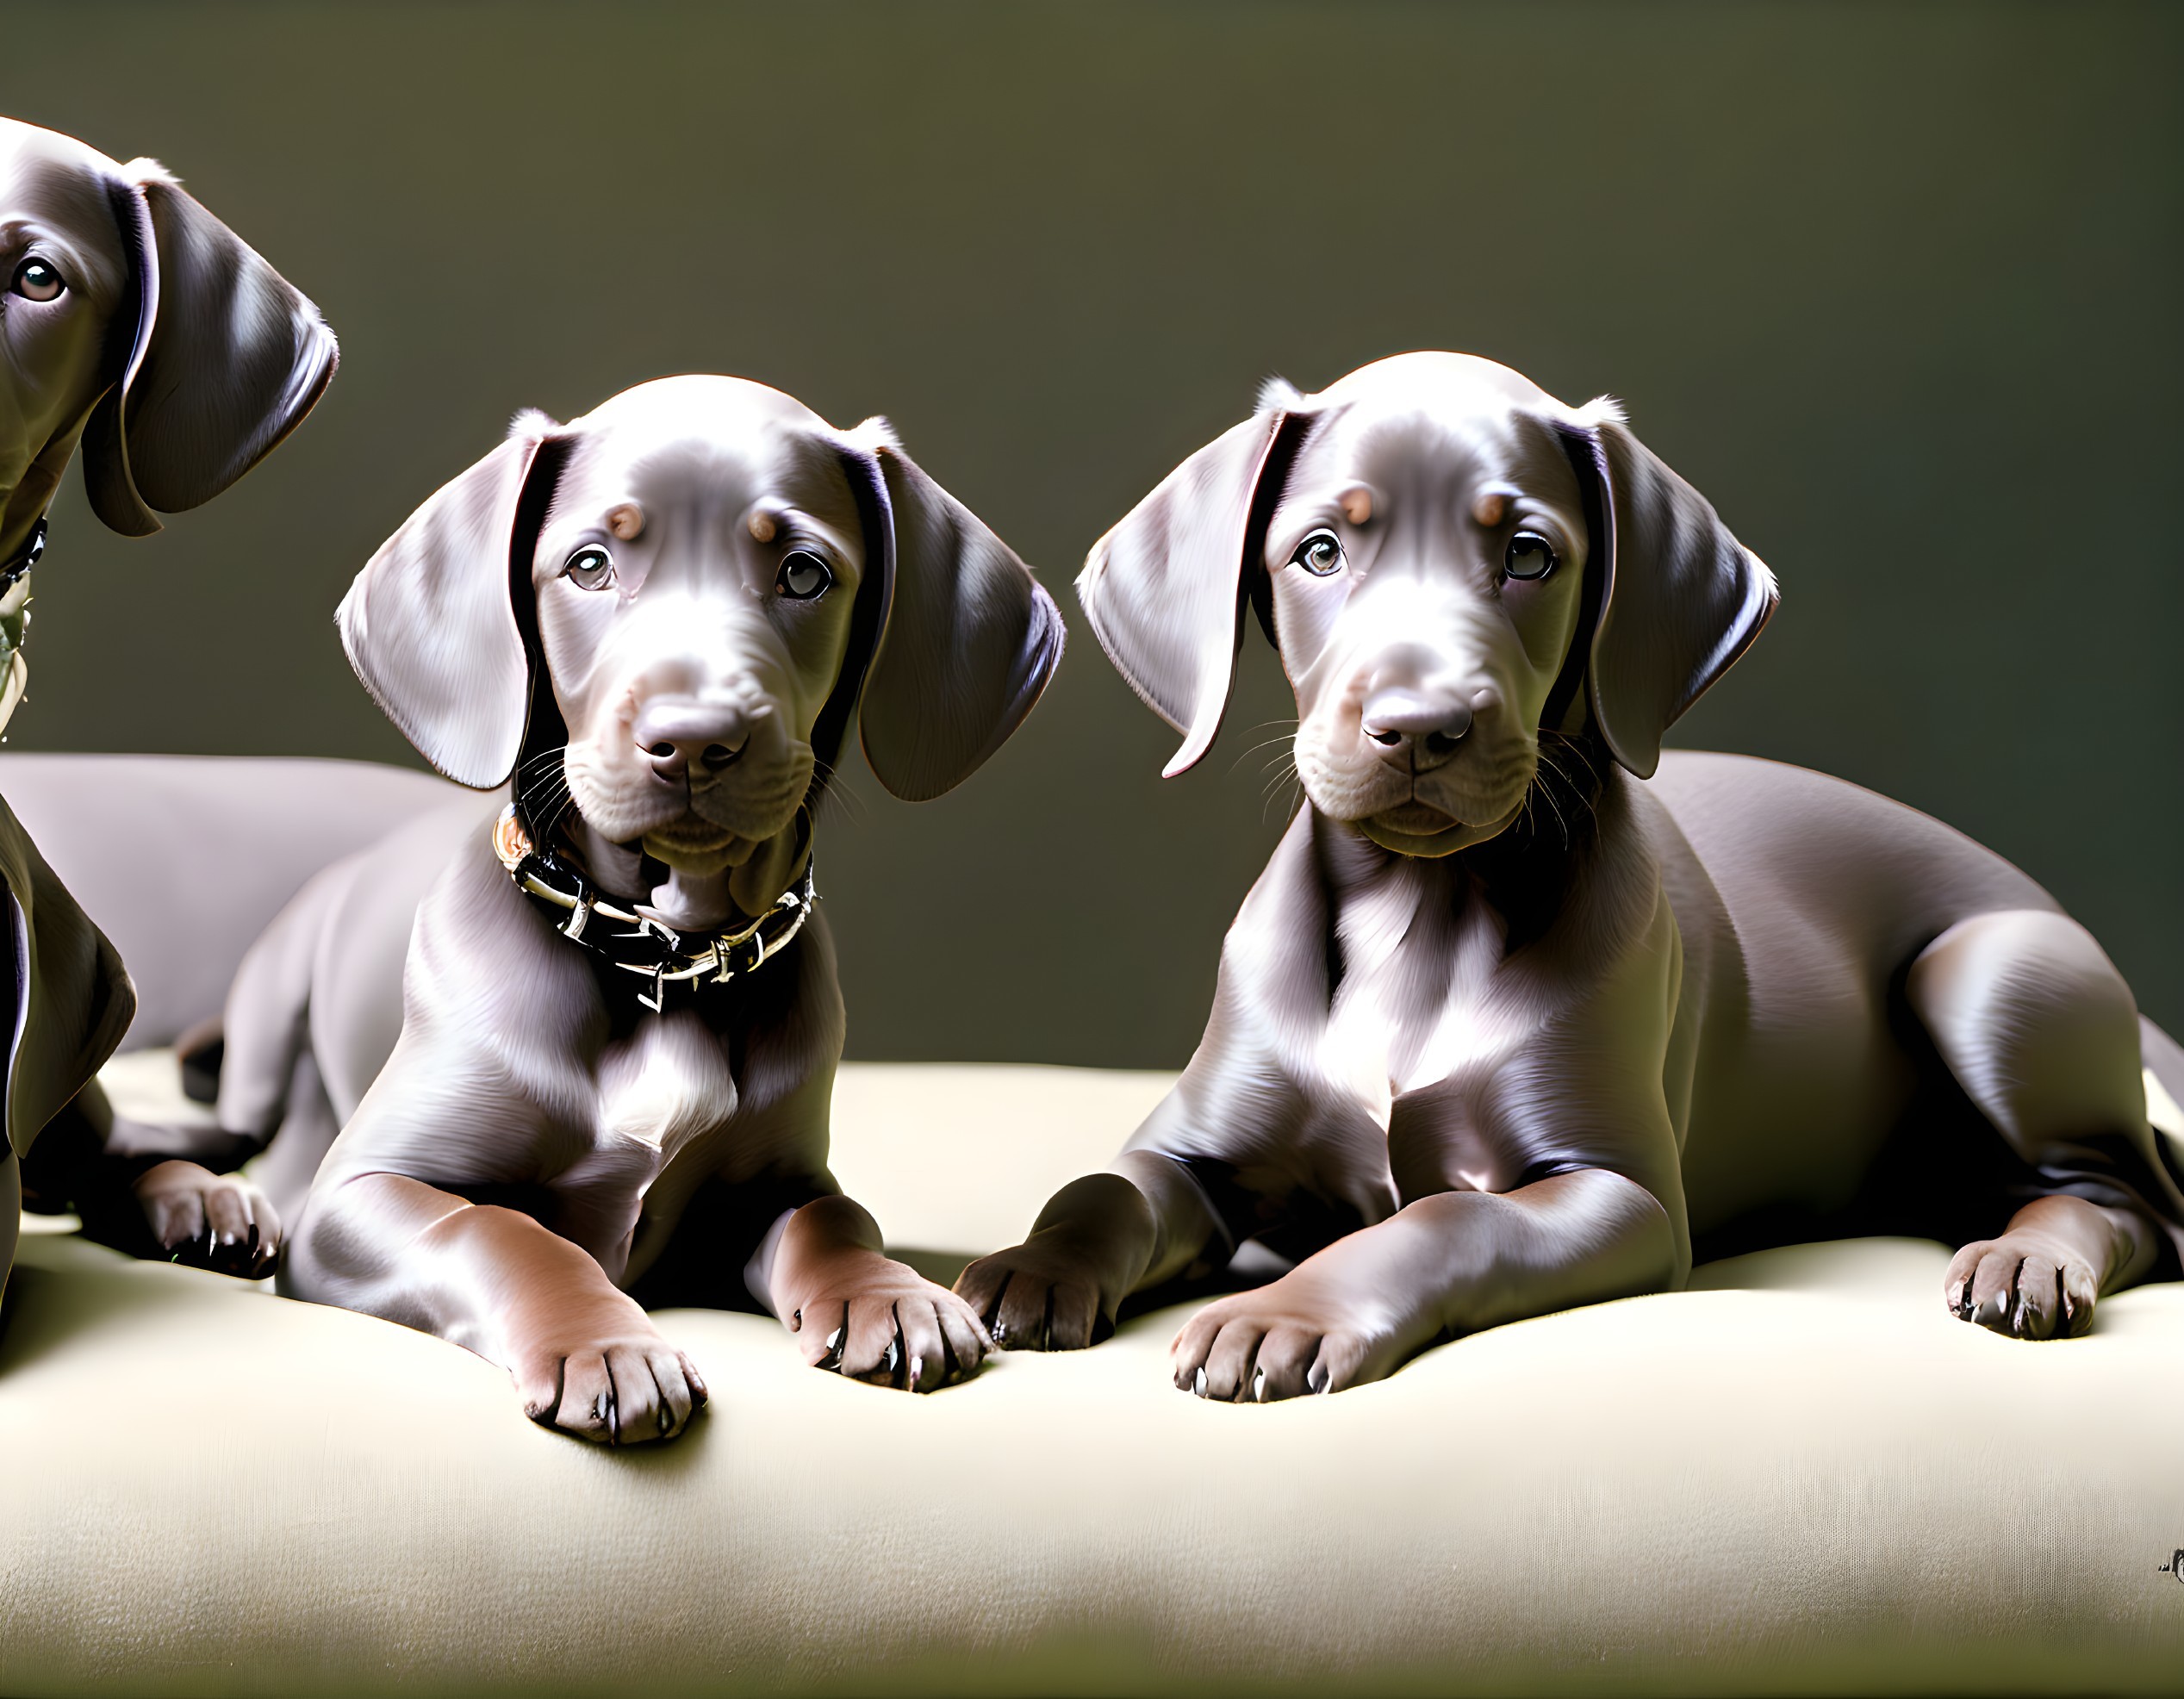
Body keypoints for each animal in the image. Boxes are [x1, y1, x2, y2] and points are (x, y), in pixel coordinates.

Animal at [277, 377, 1061, 1432]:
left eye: (805, 573)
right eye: (590, 565)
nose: (694, 740)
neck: (662, 955)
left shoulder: (770, 1185)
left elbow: (834, 1216)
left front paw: (891, 1293)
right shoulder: (358, 1195)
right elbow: (502, 1232)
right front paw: (604, 1347)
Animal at [961, 352, 2184, 1397]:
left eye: (1529, 555)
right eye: (1320, 552)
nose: (1420, 727)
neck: (1419, 909)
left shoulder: (1617, 1191)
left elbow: (1444, 1219)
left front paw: (1288, 1311)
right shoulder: (1195, 1148)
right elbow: (1104, 1185)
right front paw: (1028, 1268)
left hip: (1987, 970)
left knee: (2133, 1204)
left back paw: (2025, 1264)